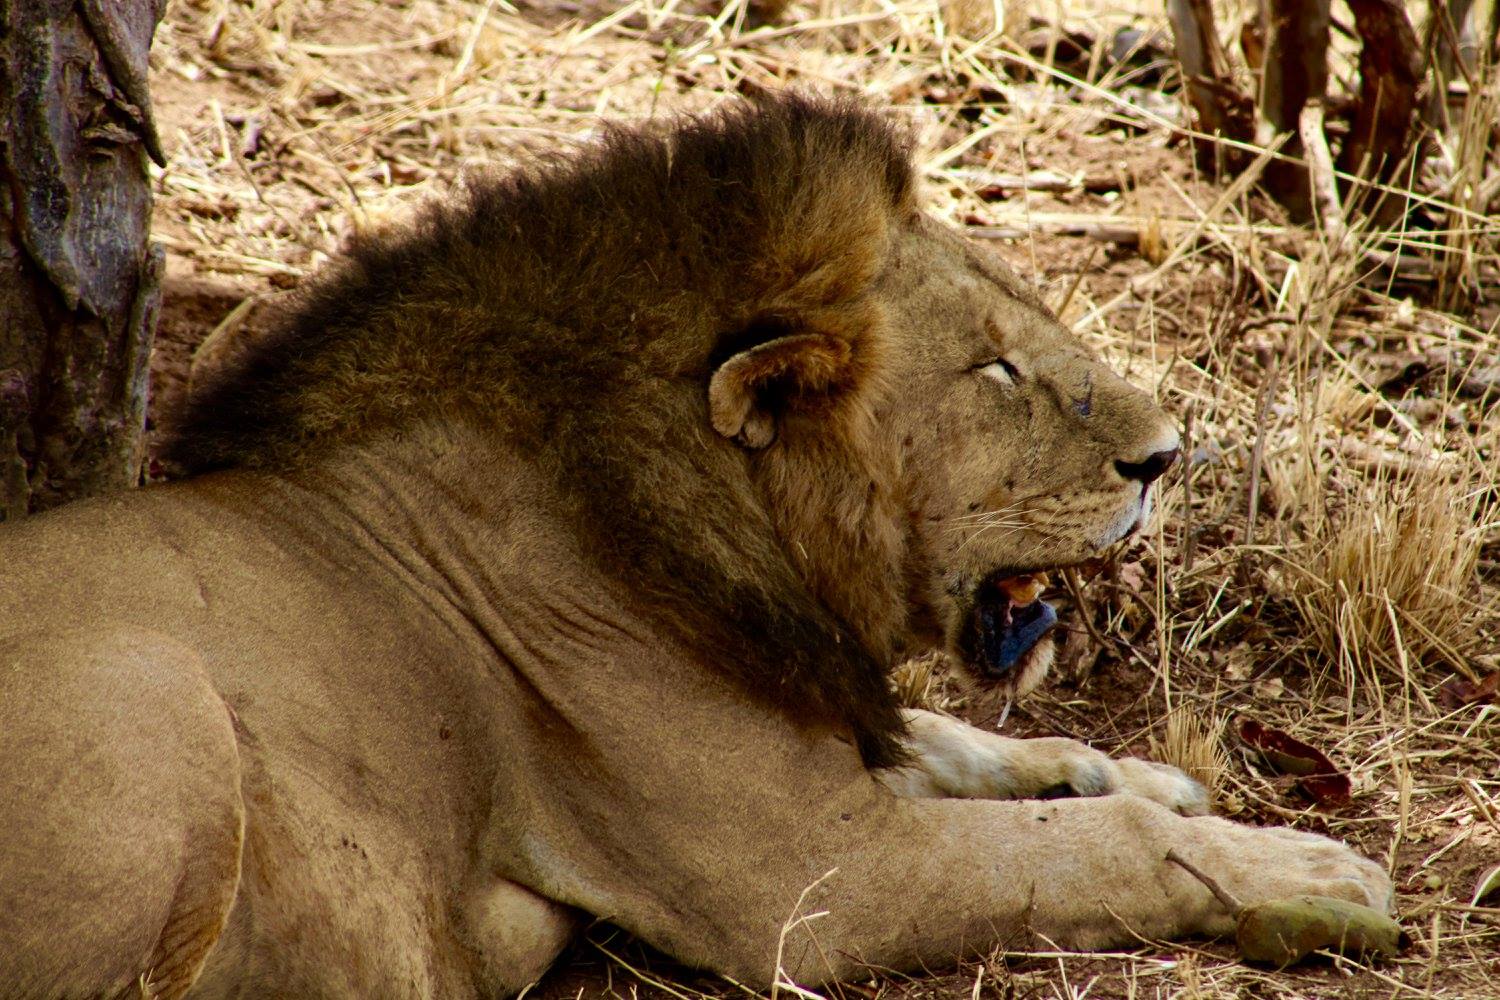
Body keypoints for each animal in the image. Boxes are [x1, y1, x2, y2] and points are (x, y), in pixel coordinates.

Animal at [0, 95, 1386, 1000]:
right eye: (993, 370)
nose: (1167, 455)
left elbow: (965, 744)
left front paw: (1125, 770)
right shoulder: (814, 878)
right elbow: (1093, 849)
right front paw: (1306, 869)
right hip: (151, 701)